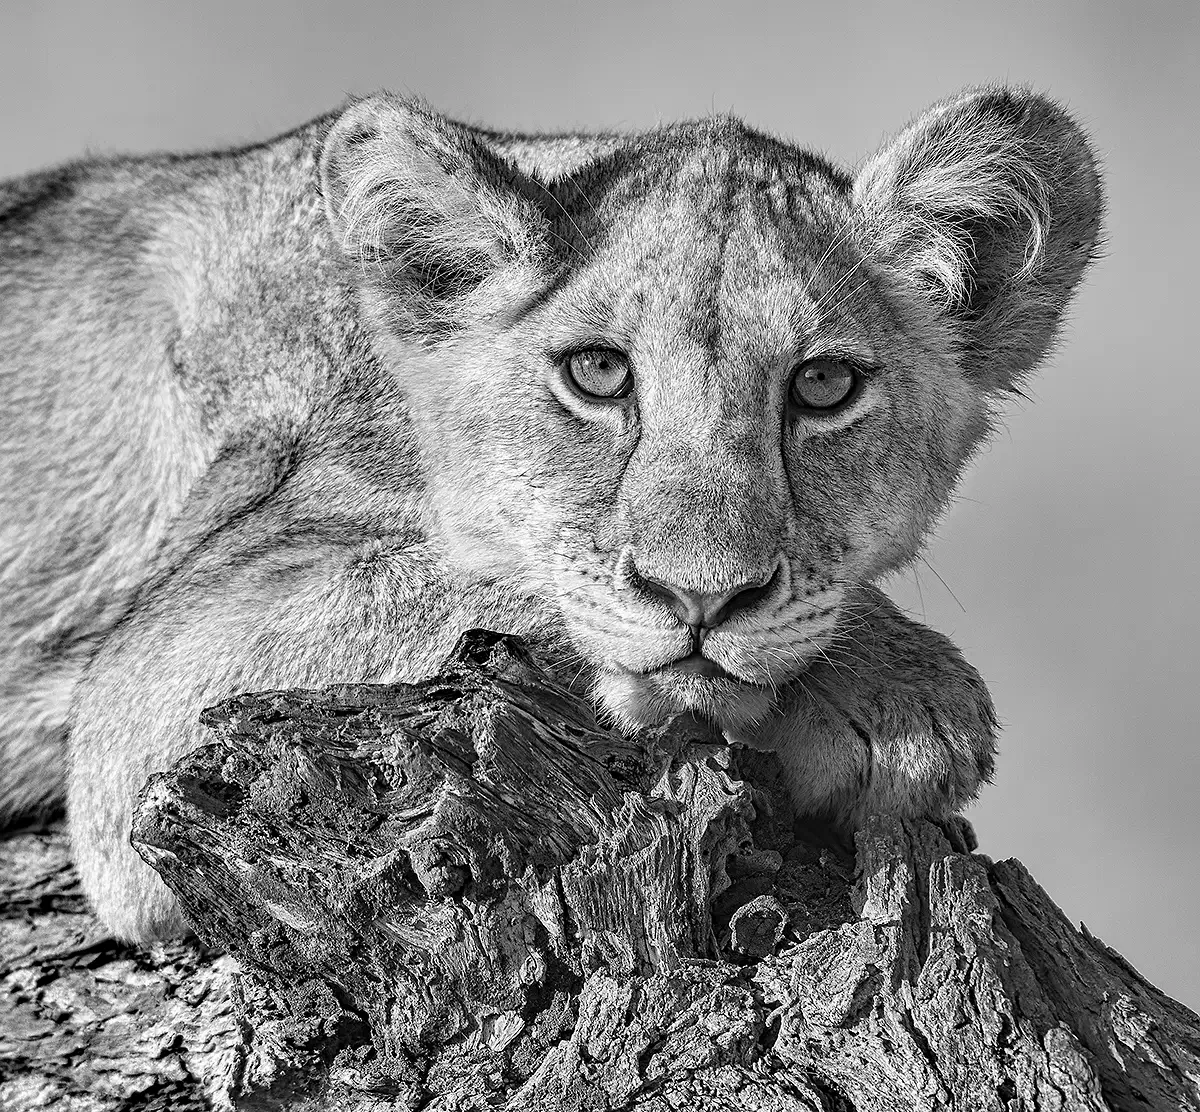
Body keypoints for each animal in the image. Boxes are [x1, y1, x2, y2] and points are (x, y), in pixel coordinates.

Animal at [0, 86, 1103, 942]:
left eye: (824, 385)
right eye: (598, 373)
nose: (704, 600)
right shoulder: (148, 695)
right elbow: (492, 580)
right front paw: (901, 692)